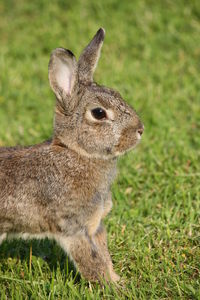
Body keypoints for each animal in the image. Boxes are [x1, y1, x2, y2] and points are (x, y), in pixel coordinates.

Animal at [0, 27, 144, 282]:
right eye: (99, 113)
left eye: (117, 93)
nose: (140, 130)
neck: (78, 153)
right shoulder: (73, 228)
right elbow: (92, 262)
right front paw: (112, 287)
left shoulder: (95, 226)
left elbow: (104, 256)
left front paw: (118, 281)